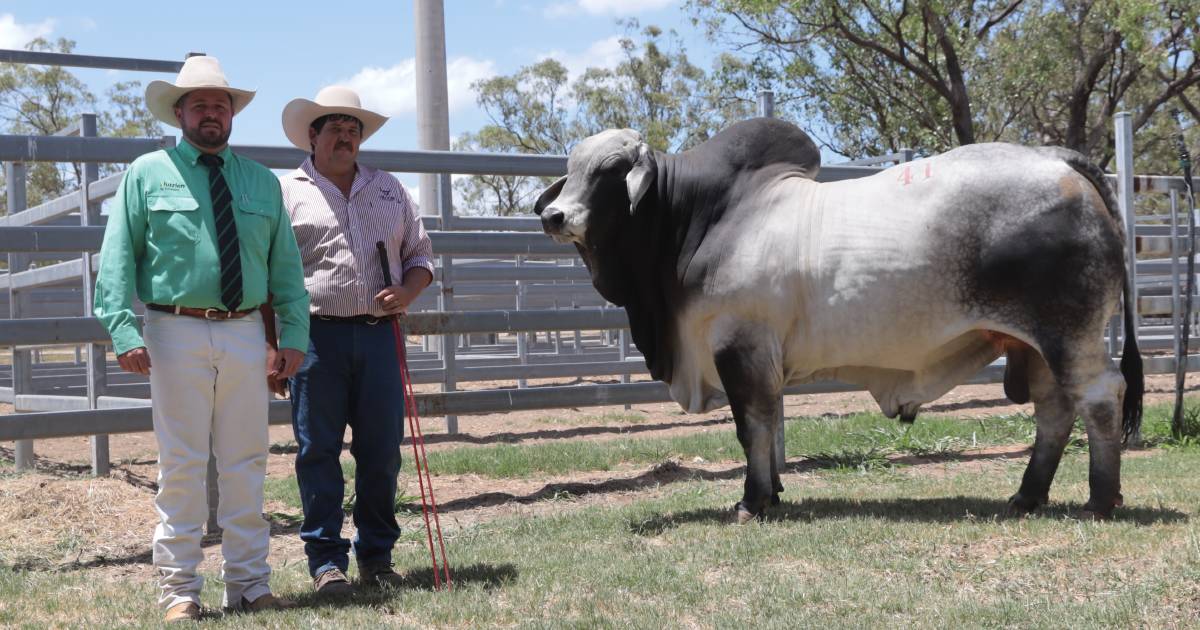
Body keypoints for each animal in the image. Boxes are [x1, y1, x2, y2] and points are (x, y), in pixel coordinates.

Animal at [535, 116, 1142, 520]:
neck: (697, 221)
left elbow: (751, 426)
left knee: (1099, 395)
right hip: (1035, 344)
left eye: (610, 170)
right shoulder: (760, 357)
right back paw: (1028, 495)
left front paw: (753, 501)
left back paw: (1100, 499)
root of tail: (1060, 160)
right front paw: (773, 492)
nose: (553, 216)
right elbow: (769, 422)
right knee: (1053, 410)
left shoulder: (739, 345)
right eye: (569, 170)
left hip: (1070, 333)